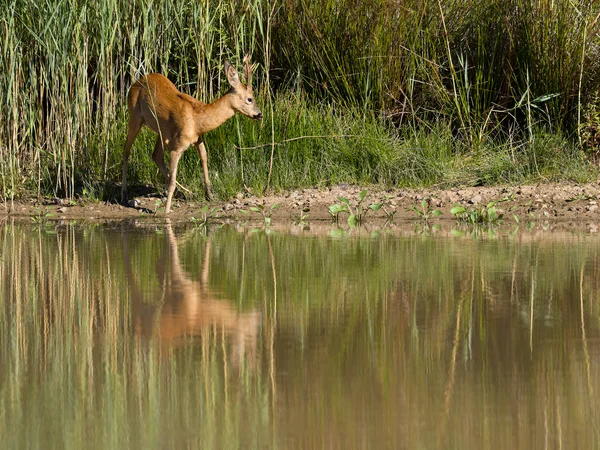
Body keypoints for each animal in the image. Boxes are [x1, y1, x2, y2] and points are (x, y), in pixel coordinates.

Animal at [122, 56, 262, 213]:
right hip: (135, 116)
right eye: (250, 99)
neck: (197, 119)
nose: (260, 114)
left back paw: (182, 192)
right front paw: (167, 210)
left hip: (162, 131)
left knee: (155, 155)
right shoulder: (177, 145)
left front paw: (209, 194)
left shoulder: (197, 139)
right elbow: (172, 180)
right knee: (126, 151)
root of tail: (135, 83)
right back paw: (124, 194)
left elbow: (204, 157)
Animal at [123, 221, 260, 366]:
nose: (259, 317)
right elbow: (174, 247)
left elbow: (205, 263)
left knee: (158, 270)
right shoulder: (180, 283)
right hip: (141, 309)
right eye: (249, 330)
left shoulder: (198, 285)